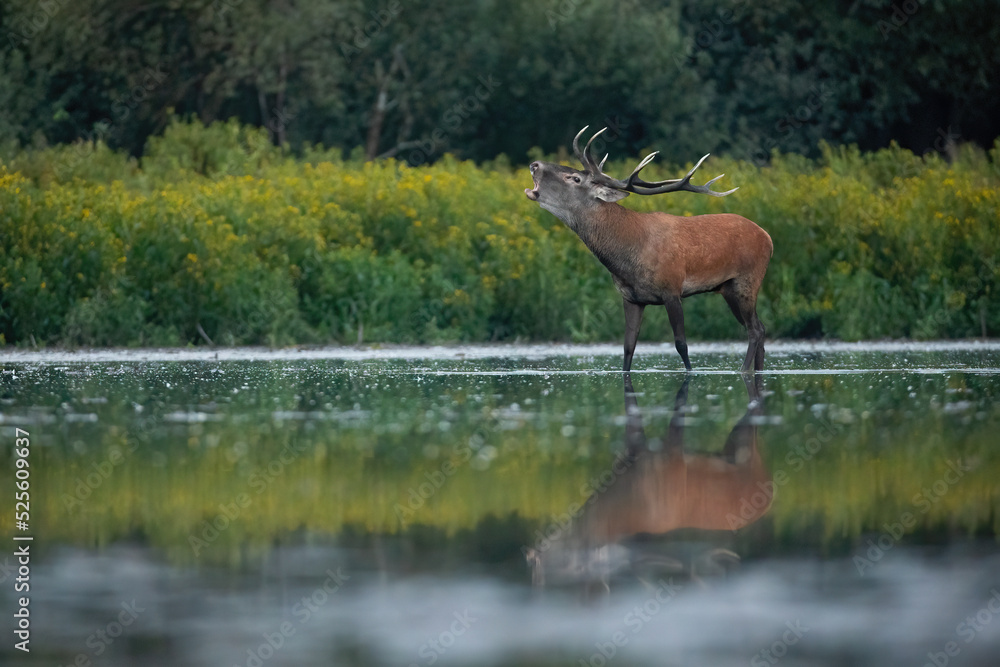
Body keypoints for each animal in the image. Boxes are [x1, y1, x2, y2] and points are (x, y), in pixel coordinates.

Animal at [524, 126, 773, 373]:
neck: (627, 256)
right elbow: (628, 348)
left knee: (754, 329)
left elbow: (681, 344)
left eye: (575, 178)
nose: (534, 164)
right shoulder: (631, 298)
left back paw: (743, 371)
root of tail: (768, 237)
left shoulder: (672, 288)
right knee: (760, 327)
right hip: (728, 288)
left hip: (748, 279)